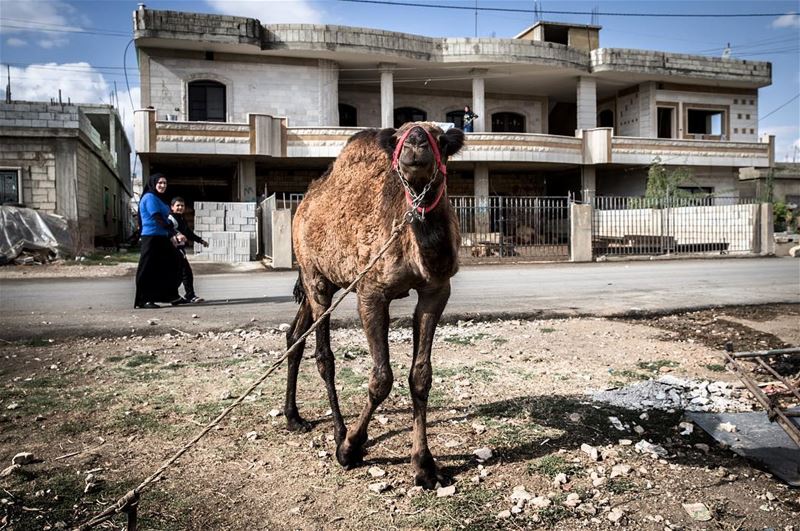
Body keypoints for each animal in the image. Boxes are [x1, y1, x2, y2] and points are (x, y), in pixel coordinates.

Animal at [284, 122, 466, 488]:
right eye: (397, 141)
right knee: (323, 355)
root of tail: (305, 203)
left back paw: (293, 417)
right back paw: (338, 431)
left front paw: (424, 466)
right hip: (314, 275)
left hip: (322, 279)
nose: (416, 143)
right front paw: (350, 448)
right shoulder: (371, 292)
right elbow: (381, 378)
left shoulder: (436, 291)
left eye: (441, 140)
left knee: (295, 335)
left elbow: (420, 376)